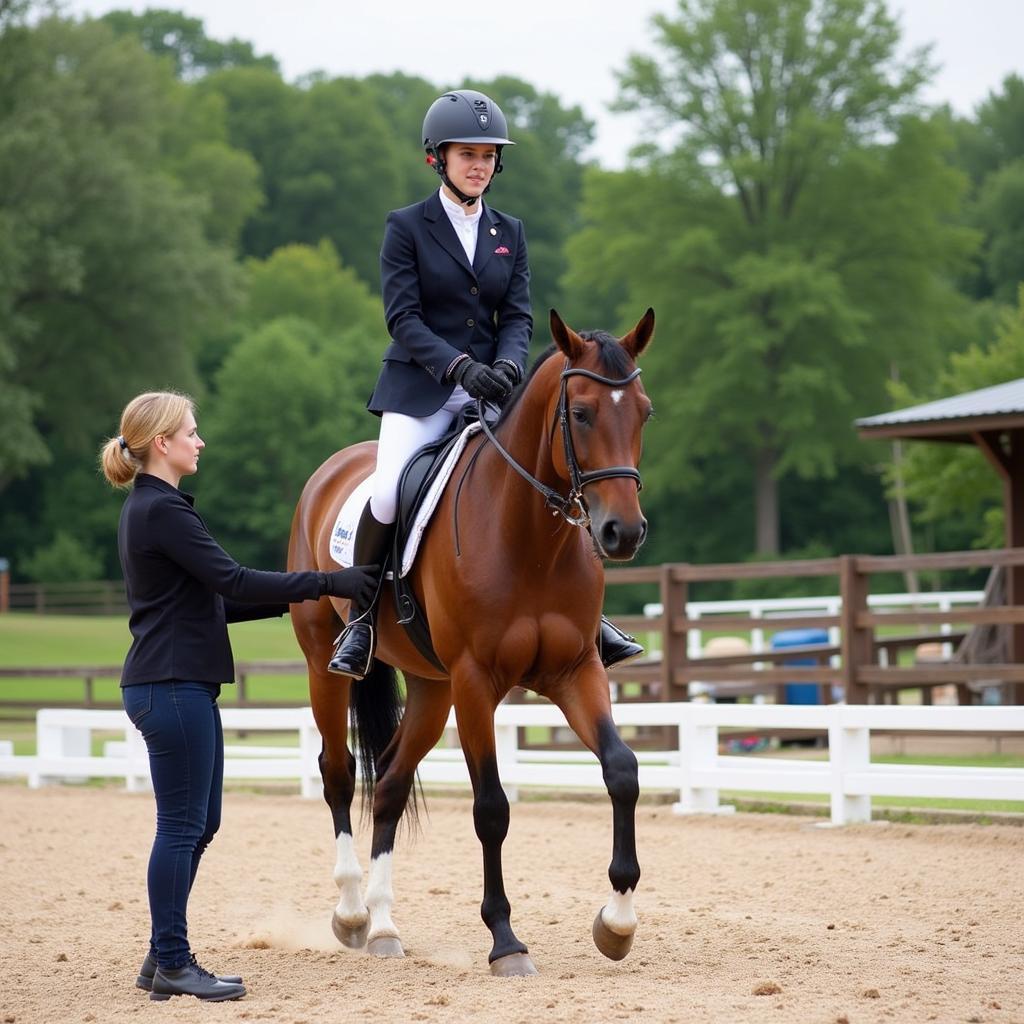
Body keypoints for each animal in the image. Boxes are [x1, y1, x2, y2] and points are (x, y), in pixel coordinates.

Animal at [288, 305, 655, 974]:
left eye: (643, 411)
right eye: (582, 413)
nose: (623, 532)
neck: (531, 539)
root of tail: (332, 470)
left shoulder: (575, 671)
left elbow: (622, 769)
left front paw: (617, 922)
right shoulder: (477, 682)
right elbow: (491, 808)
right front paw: (506, 941)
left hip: (432, 688)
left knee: (389, 783)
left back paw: (384, 927)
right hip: (326, 664)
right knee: (337, 771)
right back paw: (352, 913)